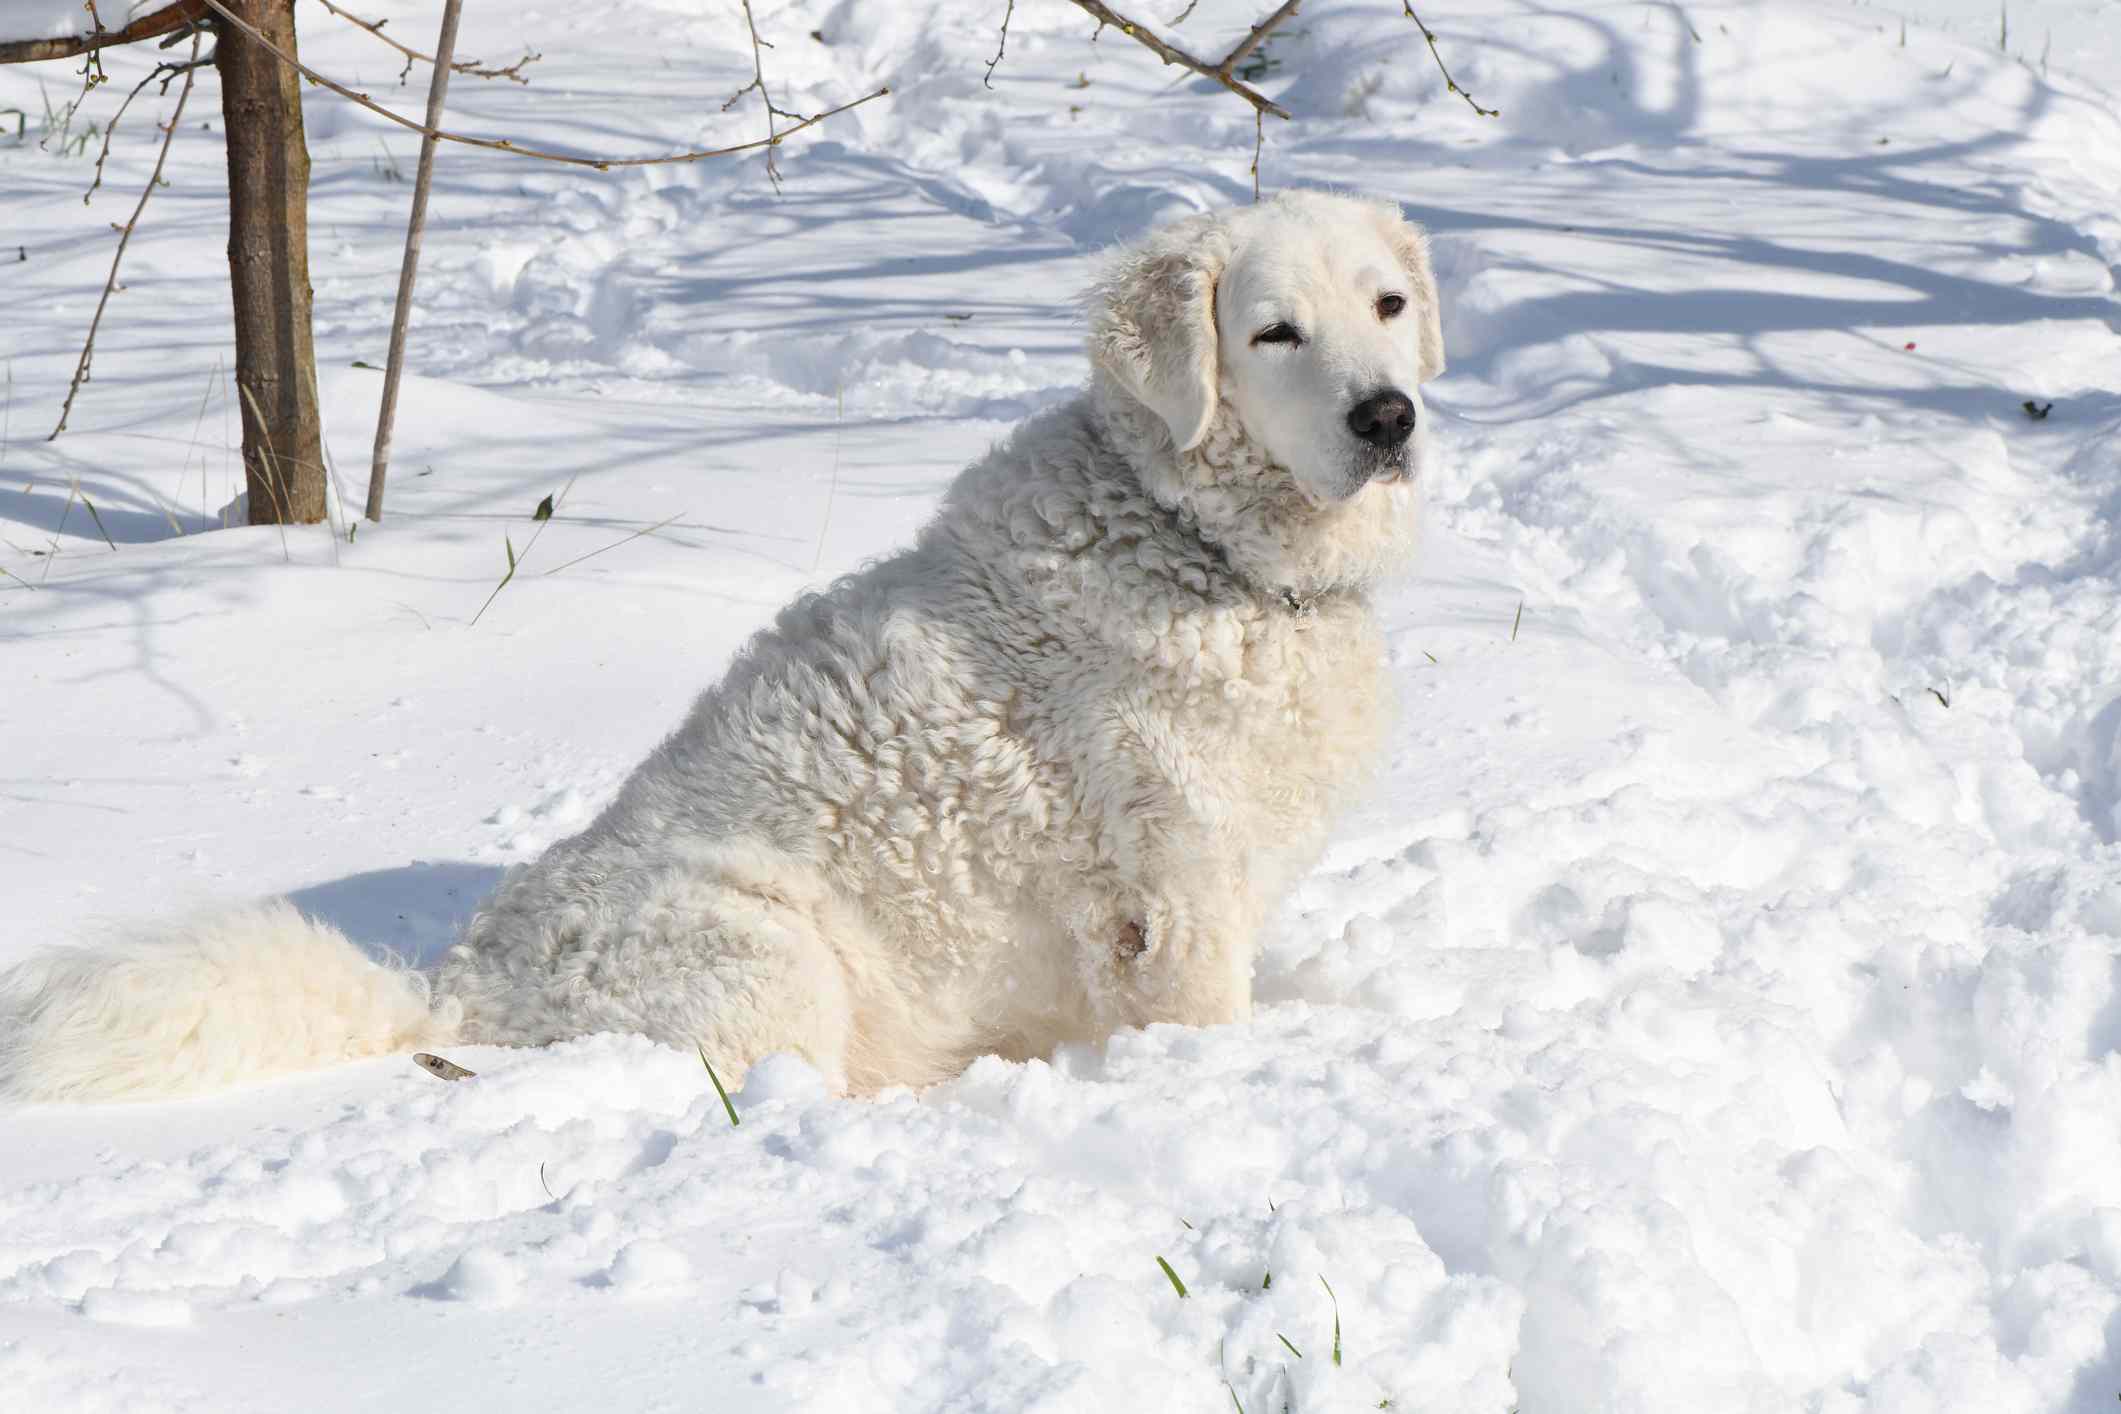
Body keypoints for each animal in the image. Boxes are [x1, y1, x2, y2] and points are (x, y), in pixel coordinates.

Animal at [0, 187, 1442, 1102]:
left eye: (1384, 304)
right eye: (1273, 331)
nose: (1387, 416)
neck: (1199, 543)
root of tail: (463, 1000)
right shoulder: (1174, 891)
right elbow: (1203, 1010)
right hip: (774, 953)